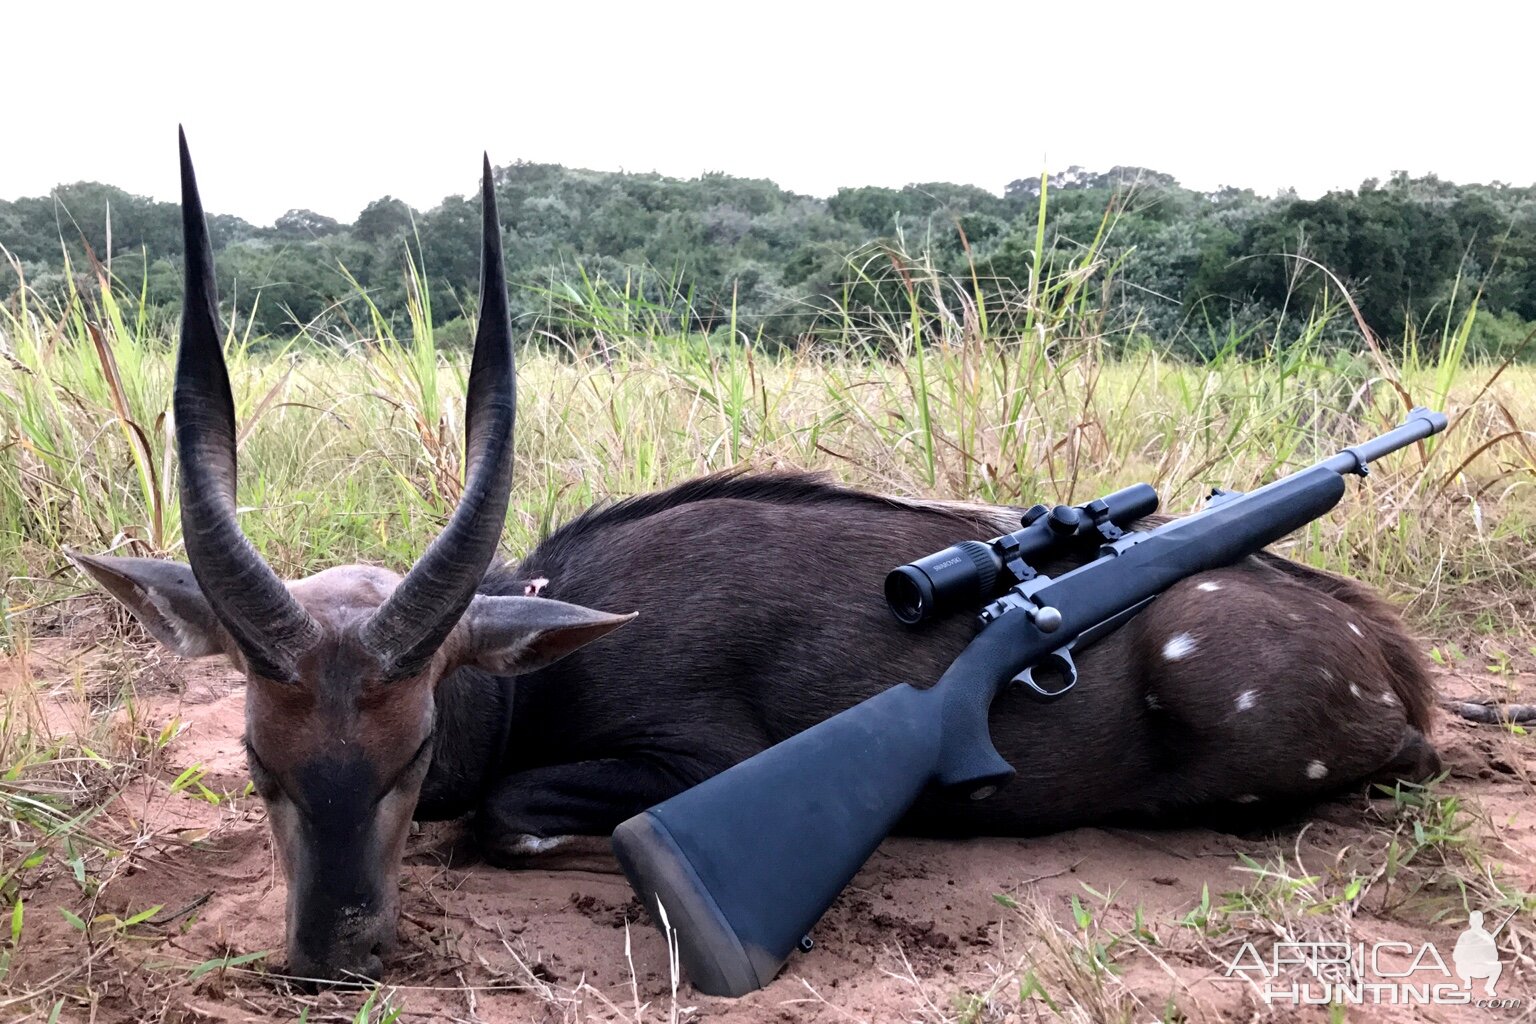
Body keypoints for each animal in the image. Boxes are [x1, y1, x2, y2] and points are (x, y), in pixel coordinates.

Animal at [69, 135, 1437, 982]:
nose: (332, 957)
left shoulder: (693, 757)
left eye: (410, 755)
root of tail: (1397, 660)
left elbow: (512, 818)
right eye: (258, 759)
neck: (556, 640)